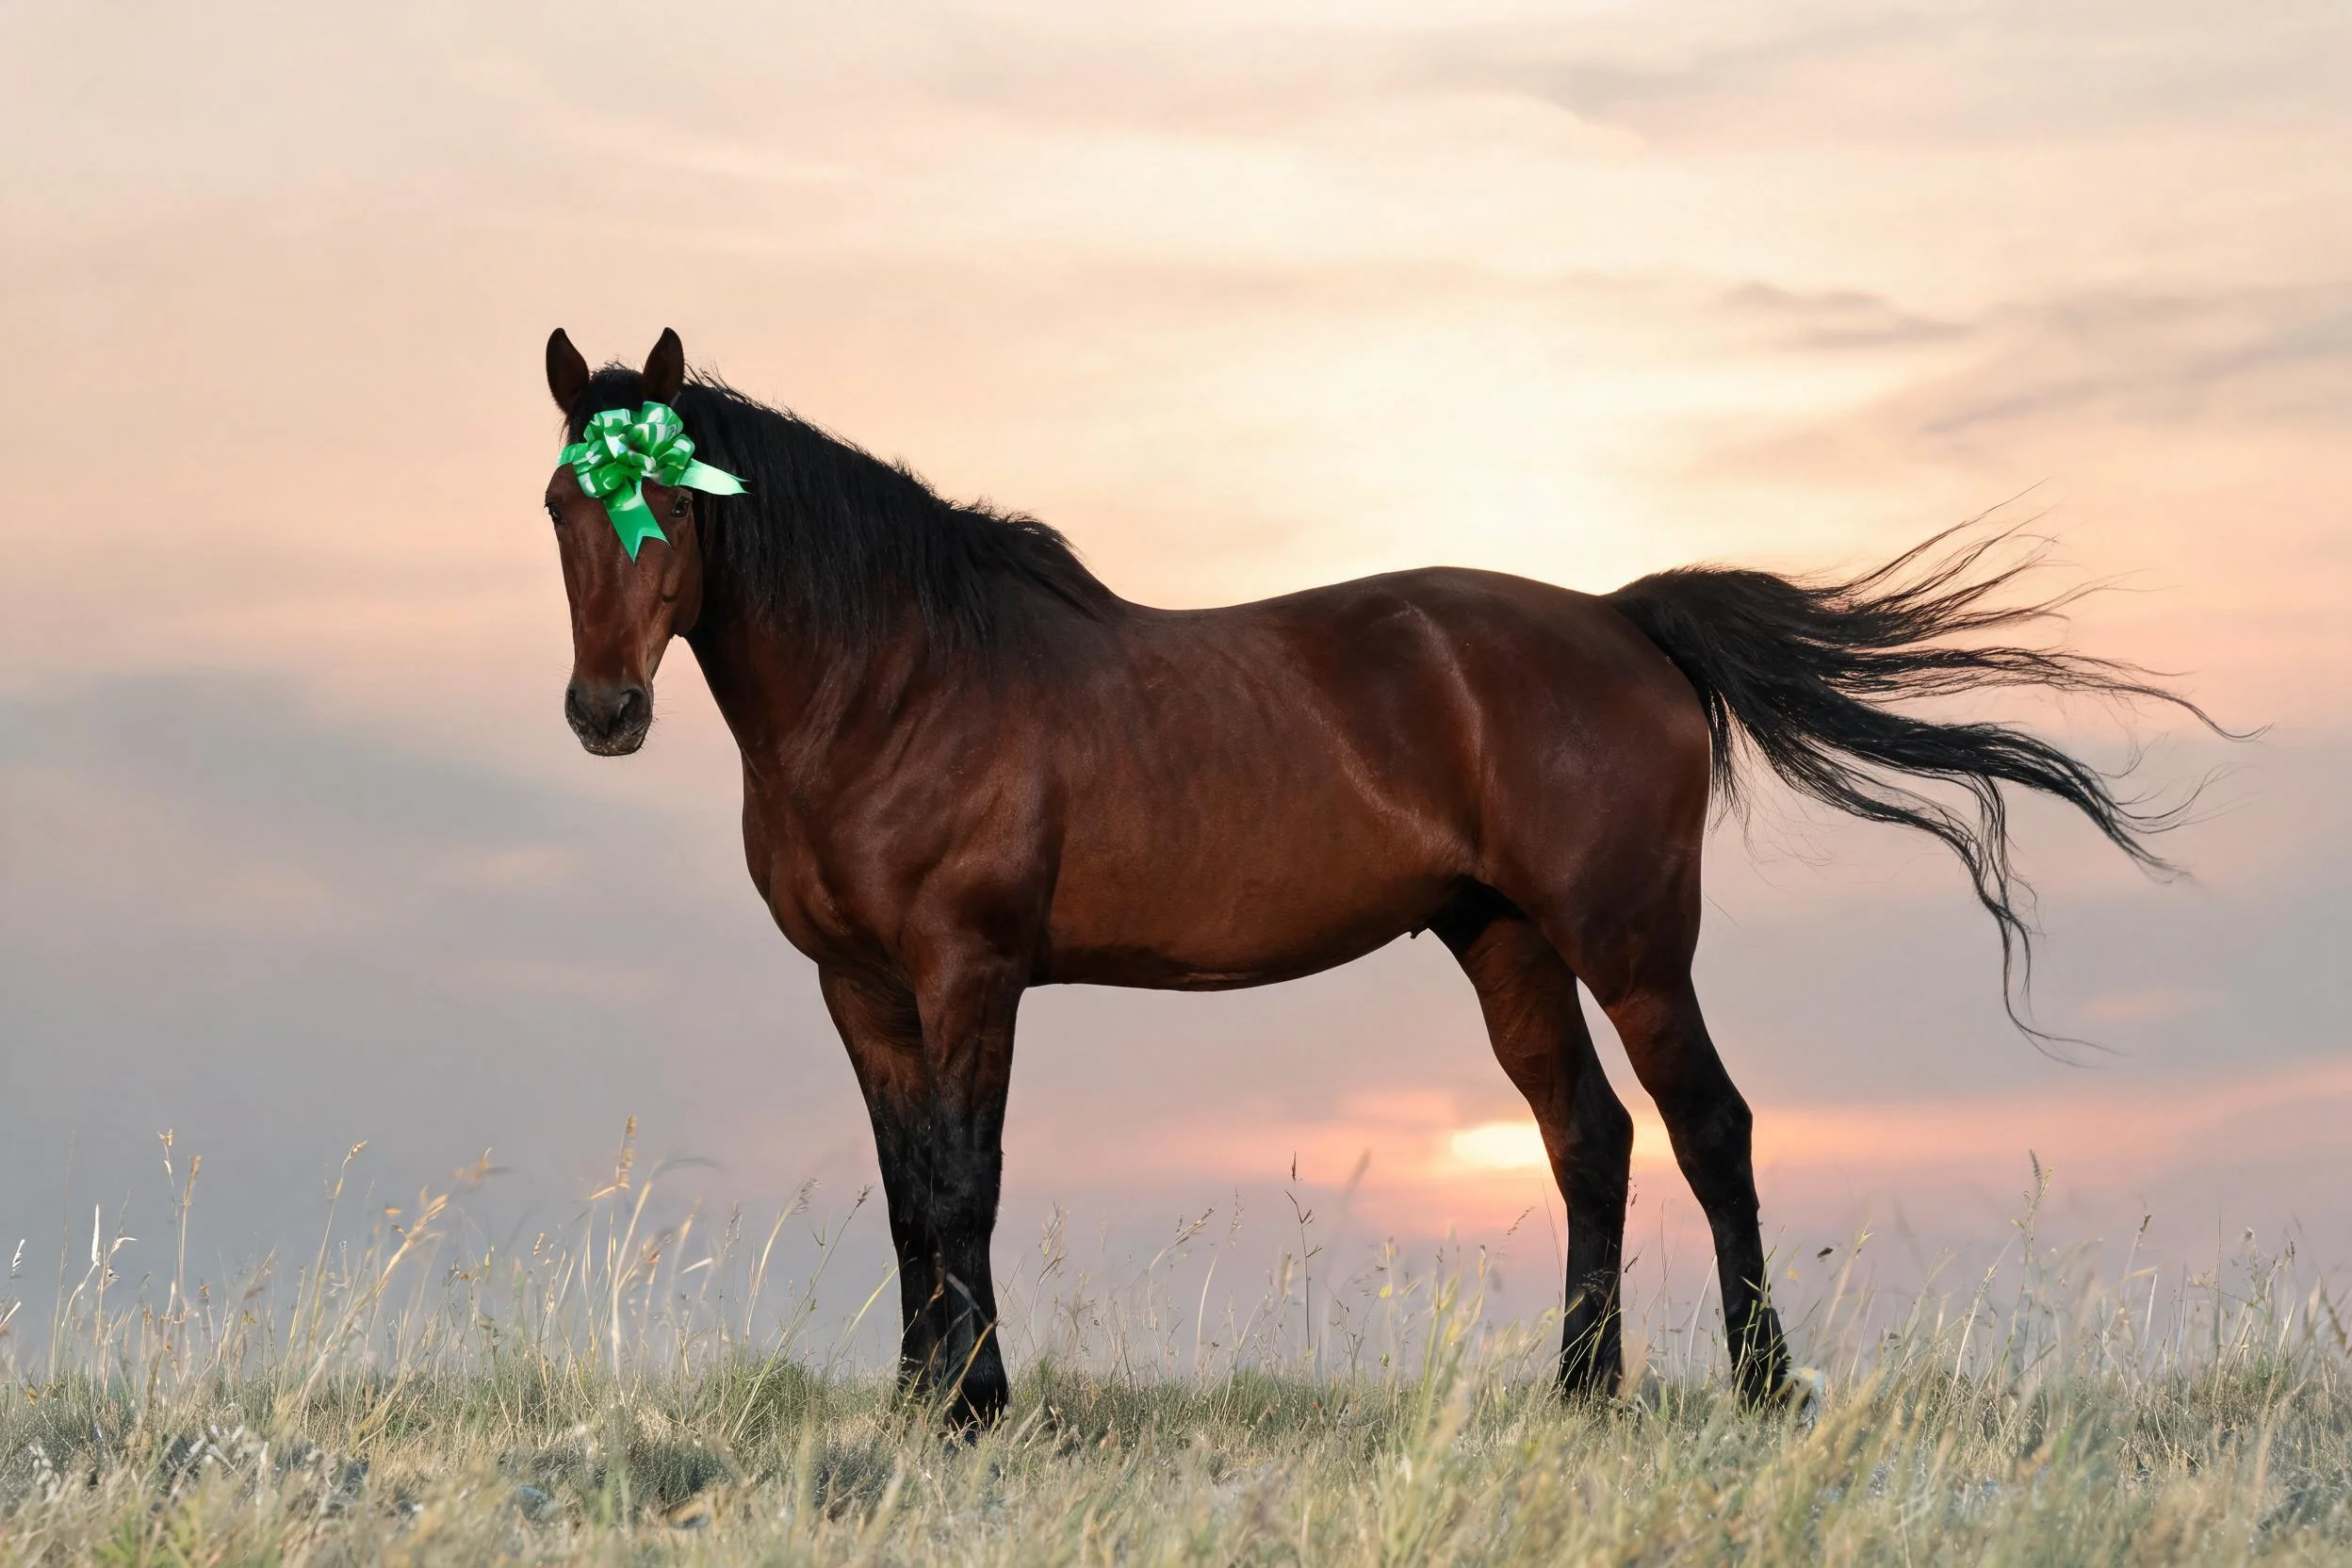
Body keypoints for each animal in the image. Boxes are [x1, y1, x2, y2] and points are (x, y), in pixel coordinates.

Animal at [541, 327, 2217, 1426]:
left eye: (671, 499)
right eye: (563, 502)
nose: (603, 712)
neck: (901, 680)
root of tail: (1623, 620)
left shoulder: (972, 974)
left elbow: (966, 1185)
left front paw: (978, 1410)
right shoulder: (862, 990)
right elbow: (906, 1200)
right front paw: (917, 1404)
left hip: (1627, 941)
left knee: (1708, 1128)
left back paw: (1763, 1389)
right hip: (1503, 941)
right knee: (1591, 1138)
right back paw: (1580, 1394)